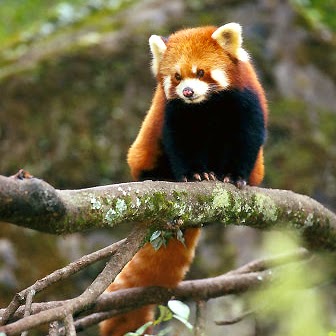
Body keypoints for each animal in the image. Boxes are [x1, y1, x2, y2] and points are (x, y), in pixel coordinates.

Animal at [100, 22, 268, 334]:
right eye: (177, 76)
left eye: (200, 72)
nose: (188, 91)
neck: (206, 106)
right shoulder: (175, 114)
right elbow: (180, 144)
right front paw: (196, 174)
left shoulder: (245, 103)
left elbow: (247, 139)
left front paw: (234, 176)